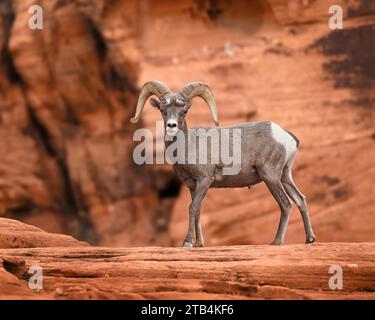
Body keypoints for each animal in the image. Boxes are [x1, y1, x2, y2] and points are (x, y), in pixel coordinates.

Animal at [131, 80, 316, 248]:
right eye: (163, 111)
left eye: (184, 111)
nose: (171, 126)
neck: (188, 146)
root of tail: (286, 136)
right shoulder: (192, 186)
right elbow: (198, 210)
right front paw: (199, 243)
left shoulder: (205, 180)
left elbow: (192, 208)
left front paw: (187, 243)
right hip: (285, 175)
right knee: (300, 199)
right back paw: (309, 239)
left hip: (270, 176)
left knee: (286, 204)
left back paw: (276, 242)